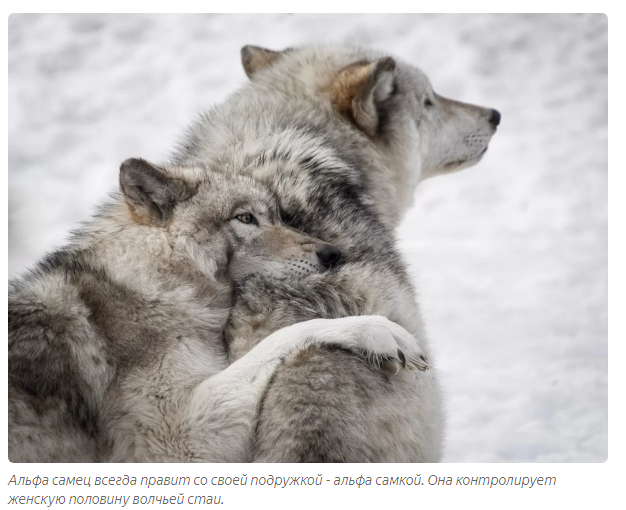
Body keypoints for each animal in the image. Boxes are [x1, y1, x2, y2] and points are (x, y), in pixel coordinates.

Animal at [7, 157, 424, 460]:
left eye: (277, 216)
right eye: (245, 218)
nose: (332, 253)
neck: (152, 282)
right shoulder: (178, 439)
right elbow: (287, 335)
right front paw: (378, 331)